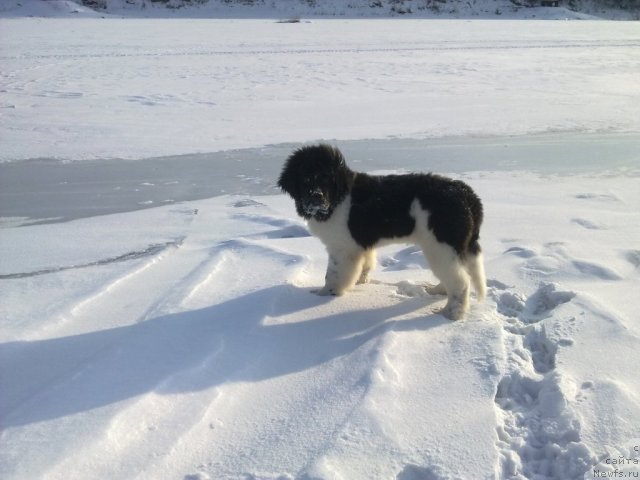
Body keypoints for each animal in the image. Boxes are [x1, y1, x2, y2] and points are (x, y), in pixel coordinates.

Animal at [278, 144, 484, 320]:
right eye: (305, 179)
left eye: (327, 179)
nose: (317, 197)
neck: (338, 200)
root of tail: (467, 194)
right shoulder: (360, 244)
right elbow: (366, 263)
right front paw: (361, 281)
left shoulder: (342, 248)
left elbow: (334, 274)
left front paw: (324, 294)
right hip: (453, 247)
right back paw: (437, 291)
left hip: (441, 245)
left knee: (460, 281)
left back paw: (451, 313)